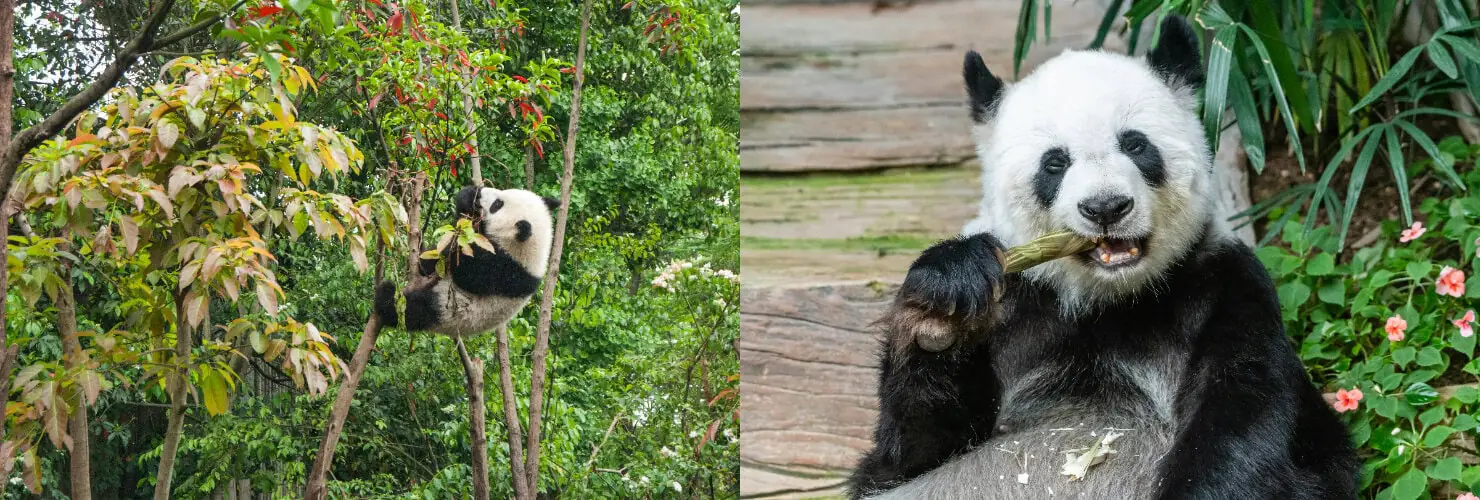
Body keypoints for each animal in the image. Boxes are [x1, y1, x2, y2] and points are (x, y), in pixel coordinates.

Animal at [374, 185, 558, 337]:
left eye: (497, 204)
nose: (481, 193)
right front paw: (468, 197)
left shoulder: (506, 271)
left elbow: (467, 274)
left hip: (448, 311)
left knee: (413, 310)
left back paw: (386, 295)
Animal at [849, 16, 1358, 500]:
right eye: (1054, 163)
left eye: (1135, 144)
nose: (1106, 207)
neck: (1104, 299)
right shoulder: (1016, 303)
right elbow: (911, 451)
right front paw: (942, 311)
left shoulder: (1224, 284)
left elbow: (1240, 420)